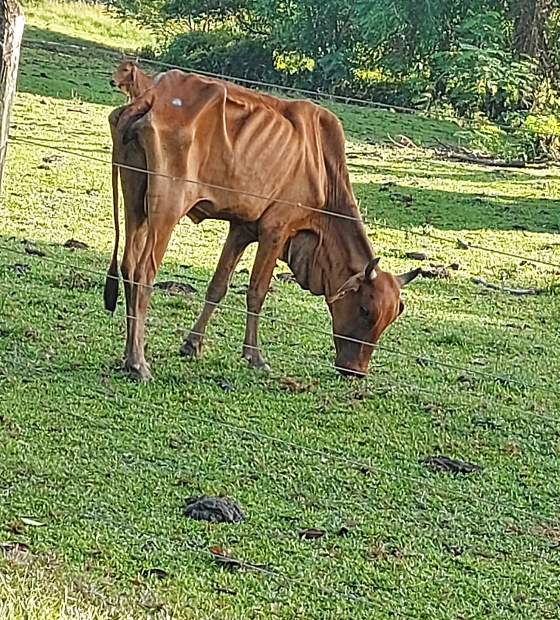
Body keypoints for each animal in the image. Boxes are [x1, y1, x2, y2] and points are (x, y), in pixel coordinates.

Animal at [105, 70, 420, 380]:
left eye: (389, 318)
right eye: (365, 311)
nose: (356, 372)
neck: (322, 169)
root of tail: (152, 96)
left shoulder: (242, 228)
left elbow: (218, 287)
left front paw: (192, 344)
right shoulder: (276, 230)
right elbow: (257, 292)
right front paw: (254, 356)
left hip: (135, 201)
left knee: (128, 266)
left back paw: (127, 357)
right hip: (167, 209)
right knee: (144, 273)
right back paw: (138, 362)